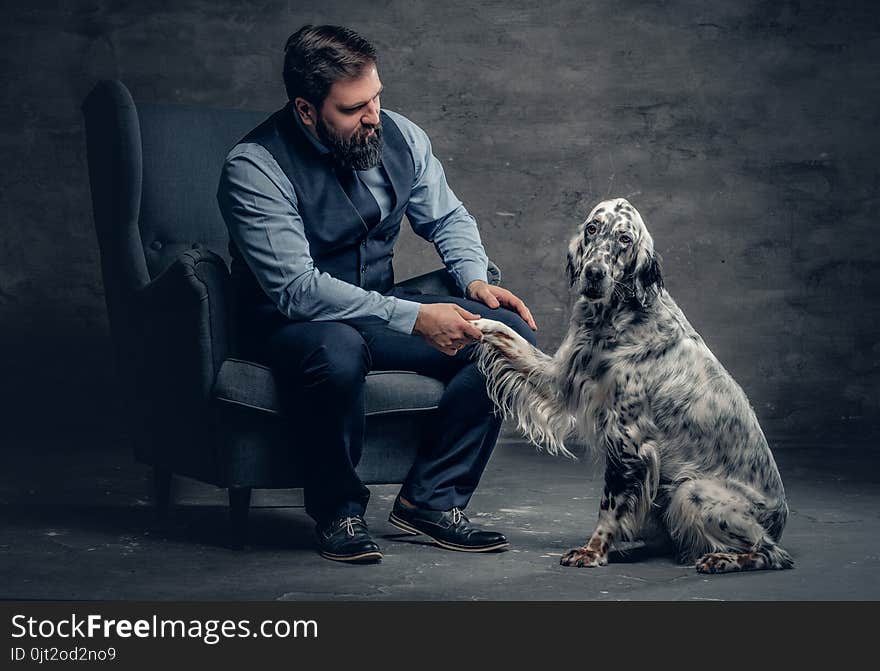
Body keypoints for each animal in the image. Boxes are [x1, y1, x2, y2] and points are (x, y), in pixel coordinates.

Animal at [470, 197, 796, 576]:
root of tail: (780, 518)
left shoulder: (629, 439)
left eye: (625, 239)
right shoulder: (560, 377)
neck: (614, 316)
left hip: (691, 490)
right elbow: (509, 337)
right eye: (592, 228)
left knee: (772, 553)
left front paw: (593, 551)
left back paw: (721, 559)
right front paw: (472, 321)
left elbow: (609, 506)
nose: (594, 273)